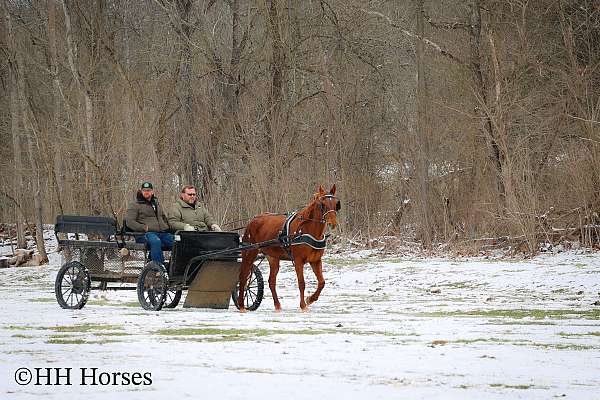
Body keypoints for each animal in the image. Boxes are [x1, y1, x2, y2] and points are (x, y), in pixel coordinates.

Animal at [239, 184, 342, 312]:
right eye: (323, 204)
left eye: (336, 204)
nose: (333, 223)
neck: (306, 229)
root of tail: (253, 220)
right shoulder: (298, 261)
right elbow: (301, 283)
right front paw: (303, 305)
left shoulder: (316, 260)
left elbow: (322, 282)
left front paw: (310, 299)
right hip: (250, 252)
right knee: (243, 277)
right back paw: (241, 305)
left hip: (273, 257)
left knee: (271, 281)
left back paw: (277, 305)